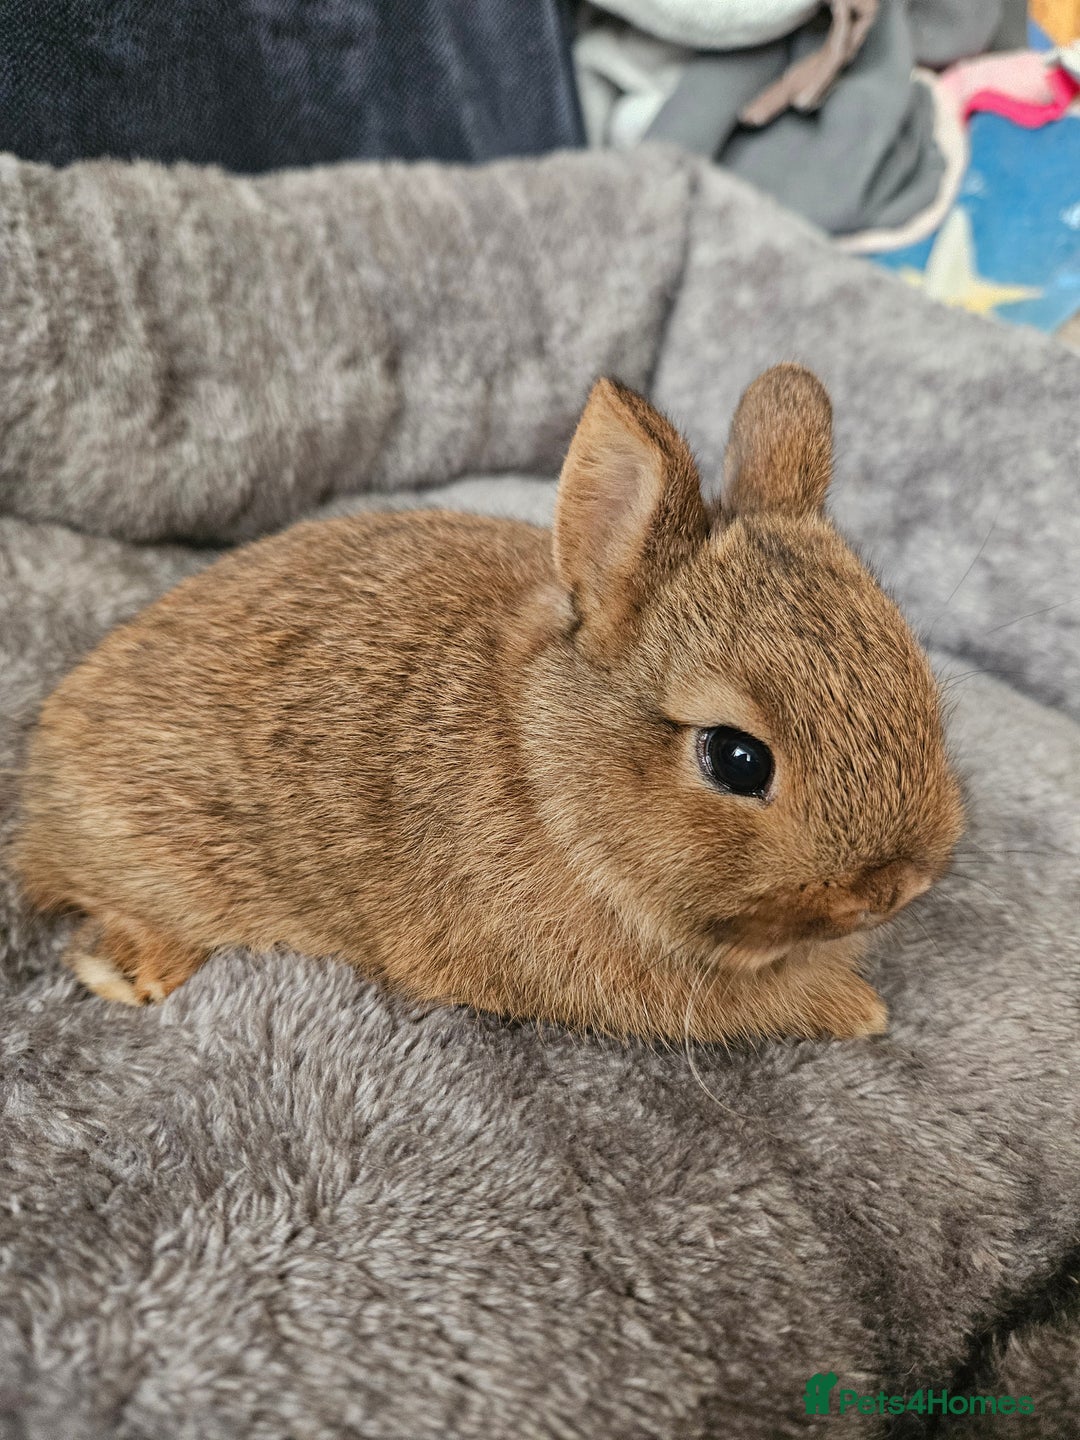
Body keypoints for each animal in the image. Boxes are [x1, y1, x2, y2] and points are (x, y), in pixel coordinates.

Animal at [14, 364, 964, 1043]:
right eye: (737, 759)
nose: (895, 888)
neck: (550, 777)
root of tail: (39, 801)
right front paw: (860, 1009)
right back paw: (130, 973)